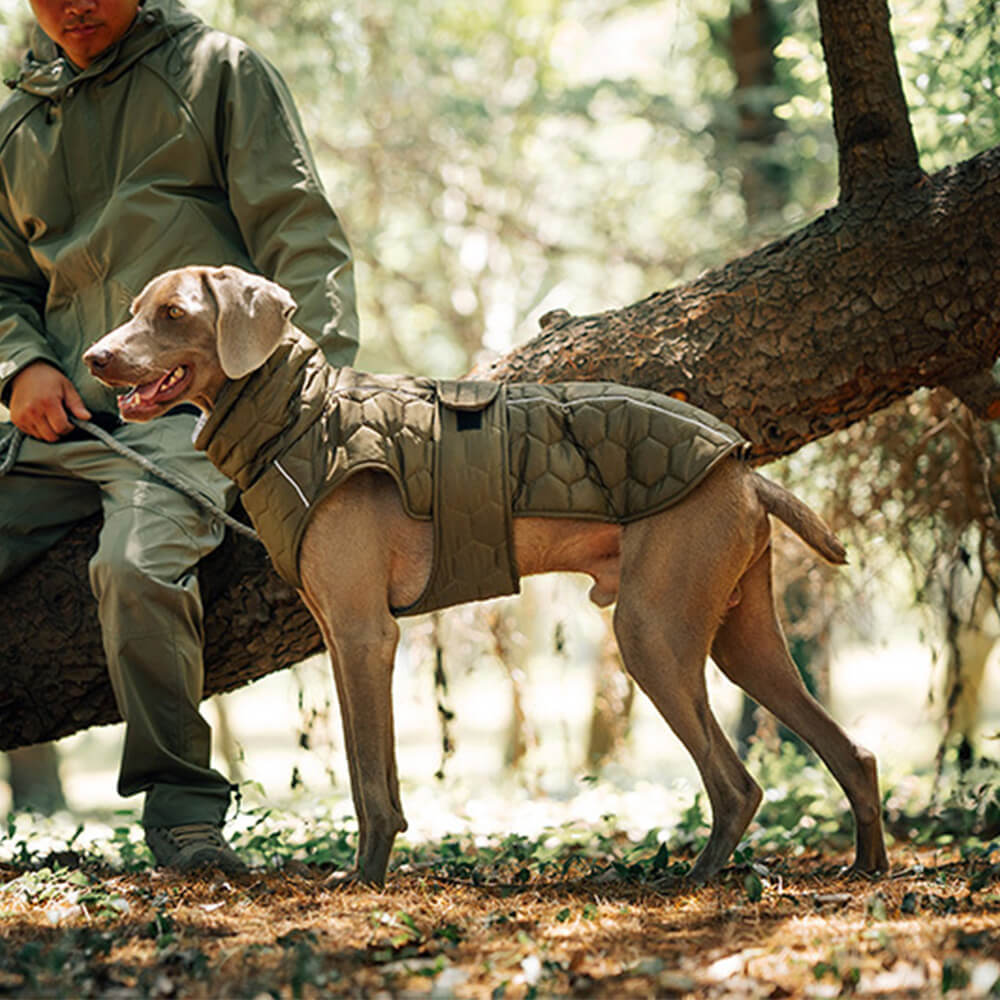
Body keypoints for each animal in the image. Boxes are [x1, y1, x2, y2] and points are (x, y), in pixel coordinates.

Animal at [82, 264, 888, 884]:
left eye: (174, 314)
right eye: (132, 309)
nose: (92, 357)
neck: (302, 415)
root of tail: (746, 472)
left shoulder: (365, 634)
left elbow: (369, 780)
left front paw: (366, 877)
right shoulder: (347, 642)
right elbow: (371, 768)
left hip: (653, 633)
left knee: (737, 783)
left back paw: (694, 879)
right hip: (741, 638)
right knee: (855, 753)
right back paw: (868, 866)